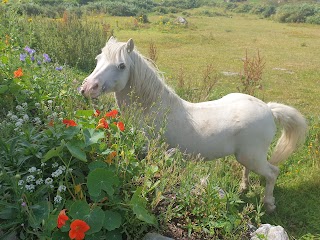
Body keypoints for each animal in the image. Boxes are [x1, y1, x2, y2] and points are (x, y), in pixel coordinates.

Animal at [80, 37, 308, 212]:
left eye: (121, 66)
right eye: (98, 59)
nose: (87, 88)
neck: (152, 107)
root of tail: (269, 109)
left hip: (253, 157)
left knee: (272, 173)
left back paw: (269, 205)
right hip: (249, 156)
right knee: (249, 170)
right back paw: (243, 188)